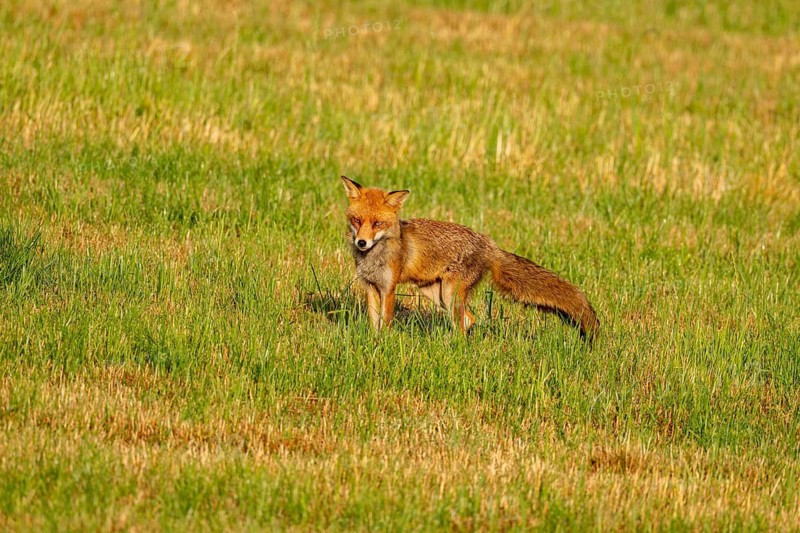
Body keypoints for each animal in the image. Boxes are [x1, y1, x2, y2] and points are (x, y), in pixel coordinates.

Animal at [340, 176, 599, 340]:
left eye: (378, 224)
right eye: (357, 220)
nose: (361, 242)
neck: (374, 257)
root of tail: (488, 243)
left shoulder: (389, 288)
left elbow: (385, 322)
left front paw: (383, 343)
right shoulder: (371, 287)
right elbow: (374, 322)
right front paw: (374, 342)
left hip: (449, 294)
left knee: (465, 323)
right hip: (437, 294)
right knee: (468, 320)